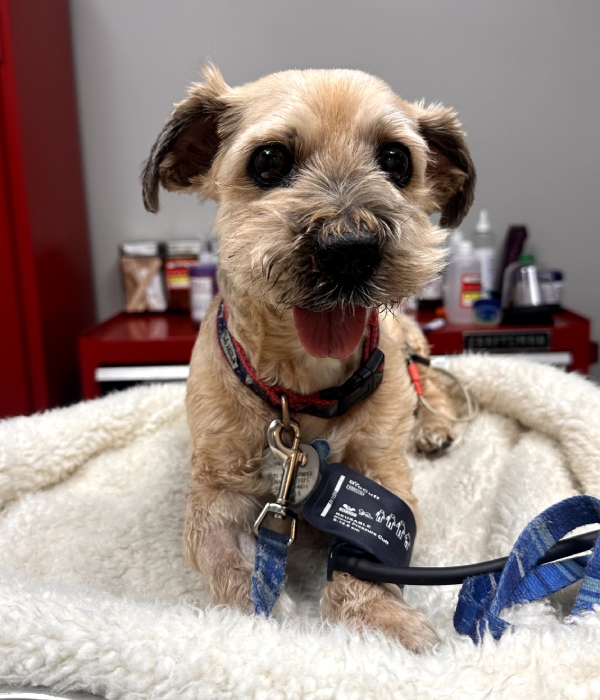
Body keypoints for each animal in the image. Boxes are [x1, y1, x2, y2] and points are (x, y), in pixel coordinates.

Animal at [143, 65, 476, 652]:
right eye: (269, 160)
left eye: (397, 160)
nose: (352, 248)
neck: (301, 390)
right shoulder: (215, 490)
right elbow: (221, 556)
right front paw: (262, 612)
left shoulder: (382, 479)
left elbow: (369, 559)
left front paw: (380, 619)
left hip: (409, 344)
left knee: (429, 385)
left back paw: (433, 427)